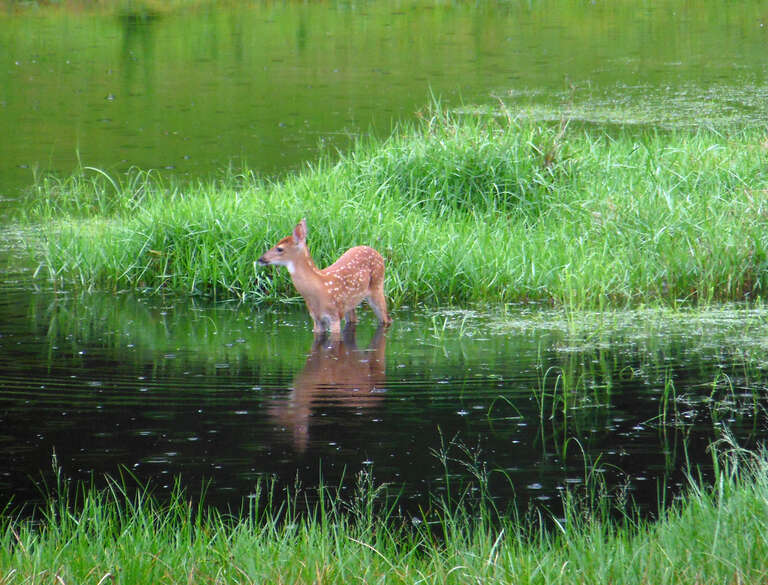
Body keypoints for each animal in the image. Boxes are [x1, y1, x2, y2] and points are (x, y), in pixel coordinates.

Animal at [257, 219, 392, 335]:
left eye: (280, 249)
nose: (261, 259)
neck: (319, 287)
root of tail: (378, 254)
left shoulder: (333, 316)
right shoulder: (316, 319)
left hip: (377, 287)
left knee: (386, 318)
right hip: (349, 304)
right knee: (354, 319)